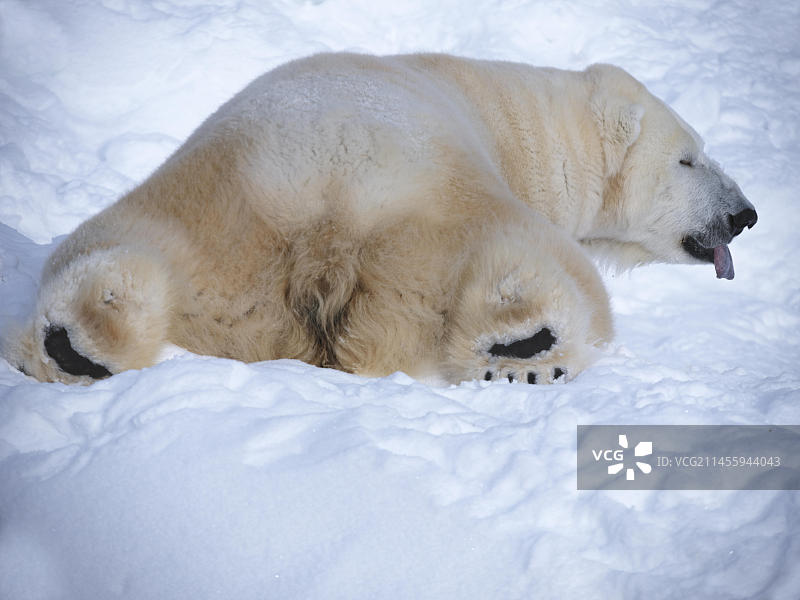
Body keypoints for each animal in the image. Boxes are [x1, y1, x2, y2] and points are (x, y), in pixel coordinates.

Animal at [4, 52, 757, 385]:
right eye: (691, 158)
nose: (745, 214)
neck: (518, 123)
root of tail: (331, 210)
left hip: (214, 221)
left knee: (122, 255)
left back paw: (79, 340)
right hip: (440, 217)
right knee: (541, 274)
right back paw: (525, 344)